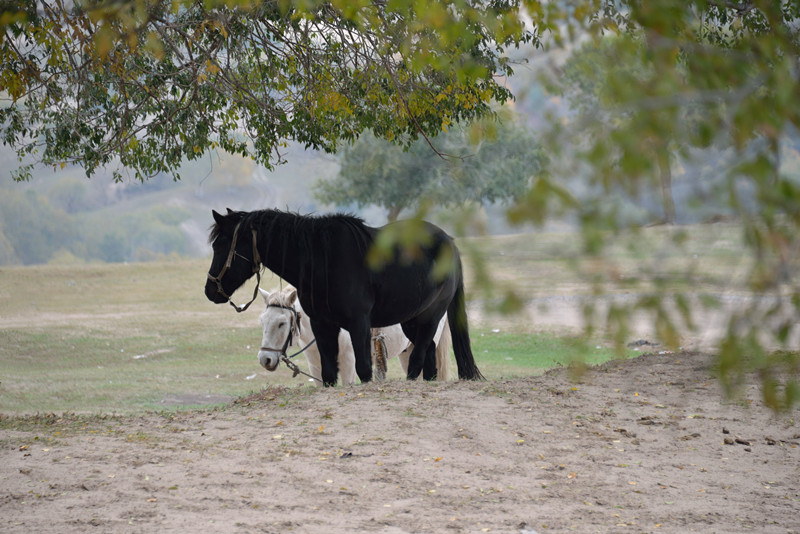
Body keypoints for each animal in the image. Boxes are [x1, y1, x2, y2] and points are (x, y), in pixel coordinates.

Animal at [260, 288, 454, 386]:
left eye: (281, 323)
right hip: (406, 351)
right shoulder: (315, 367)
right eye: (262, 320)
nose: (265, 359)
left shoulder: (348, 364)